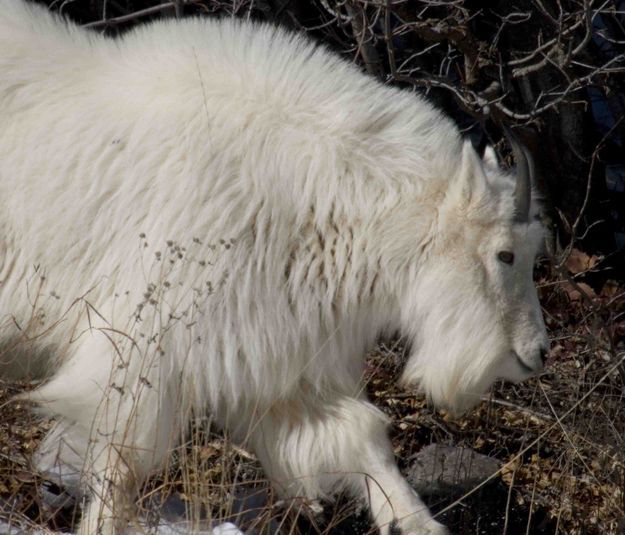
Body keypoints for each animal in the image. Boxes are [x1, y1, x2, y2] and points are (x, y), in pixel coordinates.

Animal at [0, 2, 544, 532]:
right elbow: (120, 459)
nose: (536, 353)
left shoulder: (270, 355)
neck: (315, 193)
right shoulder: (142, 343)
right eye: (505, 253)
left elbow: (361, 439)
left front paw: (415, 523)